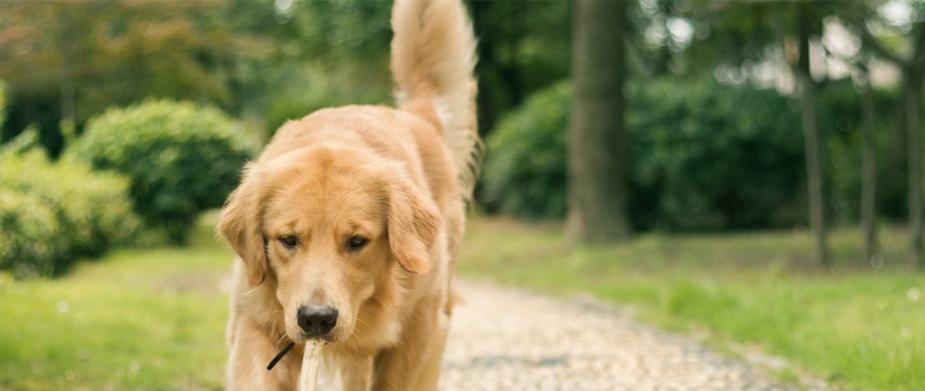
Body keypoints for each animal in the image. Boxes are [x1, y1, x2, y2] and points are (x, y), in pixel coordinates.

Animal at [217, 0, 476, 388]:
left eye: (357, 241)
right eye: (288, 240)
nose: (316, 318)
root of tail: (415, 116)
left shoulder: (419, 329)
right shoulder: (253, 321)